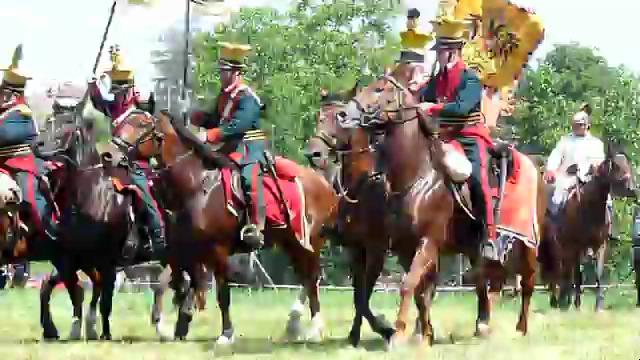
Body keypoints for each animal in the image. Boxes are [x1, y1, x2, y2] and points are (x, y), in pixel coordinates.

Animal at [115, 109, 338, 344]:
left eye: (141, 124)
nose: (113, 151)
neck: (197, 185)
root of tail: (325, 185)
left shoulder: (216, 251)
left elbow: (220, 293)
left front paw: (226, 333)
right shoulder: (186, 252)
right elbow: (178, 285)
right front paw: (179, 325)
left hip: (310, 243)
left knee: (312, 279)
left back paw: (314, 328)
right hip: (292, 243)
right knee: (306, 278)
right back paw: (295, 328)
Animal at [342, 64, 544, 346]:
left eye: (380, 89)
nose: (344, 114)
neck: (417, 177)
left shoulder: (427, 242)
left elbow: (408, 285)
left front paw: (399, 333)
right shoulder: (406, 247)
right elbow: (420, 291)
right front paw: (424, 333)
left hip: (527, 242)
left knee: (527, 282)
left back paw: (520, 327)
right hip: (476, 249)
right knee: (487, 282)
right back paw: (482, 325)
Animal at [540, 142, 636, 310]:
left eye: (627, 163)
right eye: (616, 165)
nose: (631, 189)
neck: (589, 208)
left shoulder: (600, 246)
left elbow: (598, 274)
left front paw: (598, 305)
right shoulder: (575, 247)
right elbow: (576, 276)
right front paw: (574, 303)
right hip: (558, 247)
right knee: (558, 272)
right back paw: (557, 300)